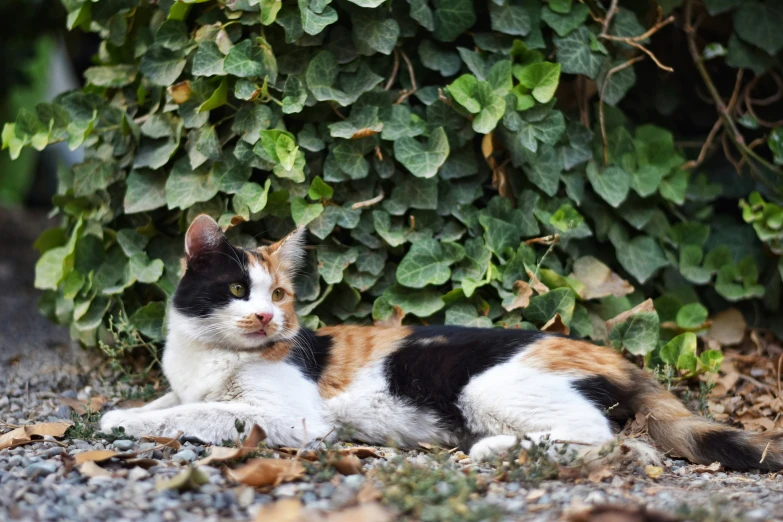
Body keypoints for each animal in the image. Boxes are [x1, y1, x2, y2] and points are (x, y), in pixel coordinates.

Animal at [102, 213, 783, 470]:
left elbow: (205, 413)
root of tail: (613, 353)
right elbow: (172, 401)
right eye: (240, 289)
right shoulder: (187, 381)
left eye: (281, 295)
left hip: (490, 387)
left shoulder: (293, 418)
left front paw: (122, 424)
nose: (270, 320)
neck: (208, 353)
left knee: (600, 434)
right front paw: (126, 410)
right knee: (627, 443)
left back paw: (492, 449)